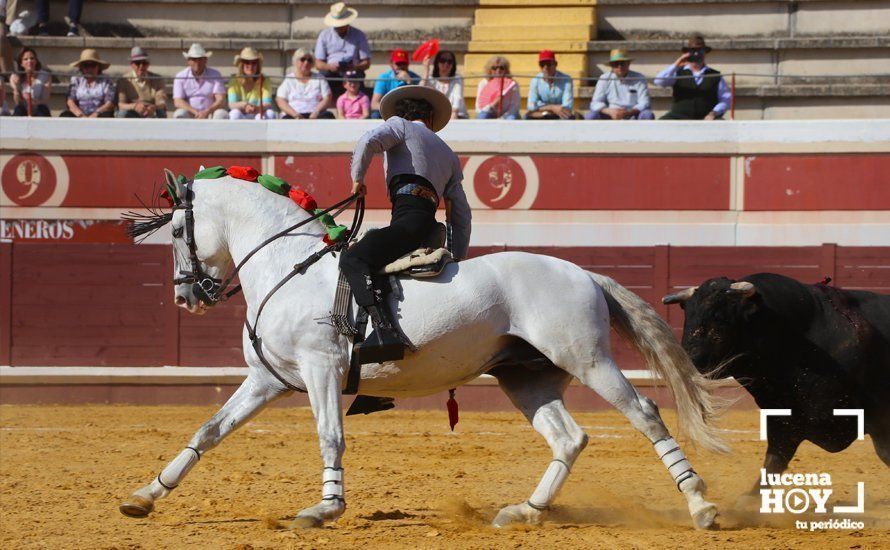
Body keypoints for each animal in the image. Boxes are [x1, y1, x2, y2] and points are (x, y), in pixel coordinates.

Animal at [118, 175, 724, 532]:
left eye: (177, 230)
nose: (186, 295)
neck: (289, 268)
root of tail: (584, 272)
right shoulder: (268, 380)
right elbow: (209, 431)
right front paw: (145, 496)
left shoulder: (321, 368)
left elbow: (329, 435)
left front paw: (325, 508)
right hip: (527, 378)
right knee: (569, 438)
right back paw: (525, 511)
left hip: (589, 360)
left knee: (644, 414)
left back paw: (700, 504)